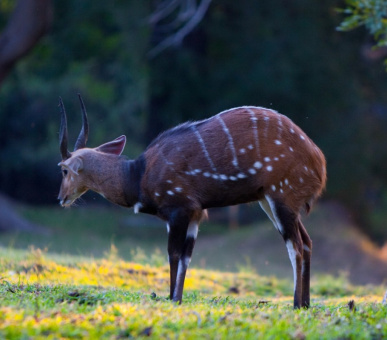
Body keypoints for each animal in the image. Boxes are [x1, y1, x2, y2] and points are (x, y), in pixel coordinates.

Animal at [58, 94, 328, 310]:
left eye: (64, 170)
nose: (60, 198)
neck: (137, 175)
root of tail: (319, 162)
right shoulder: (196, 214)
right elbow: (187, 255)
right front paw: (176, 298)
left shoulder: (179, 209)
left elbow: (174, 253)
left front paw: (171, 298)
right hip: (272, 202)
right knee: (307, 242)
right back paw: (306, 304)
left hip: (281, 196)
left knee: (295, 246)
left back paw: (296, 304)